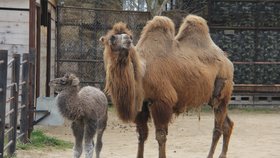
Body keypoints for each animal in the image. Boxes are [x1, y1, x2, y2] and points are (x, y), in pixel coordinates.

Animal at [100, 14, 234, 157]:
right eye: (112, 38)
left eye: (129, 36)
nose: (128, 42)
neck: (142, 74)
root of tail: (228, 61)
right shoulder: (141, 104)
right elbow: (141, 135)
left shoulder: (161, 101)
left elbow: (161, 136)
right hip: (213, 99)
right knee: (227, 124)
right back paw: (222, 154)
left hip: (222, 92)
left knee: (217, 128)